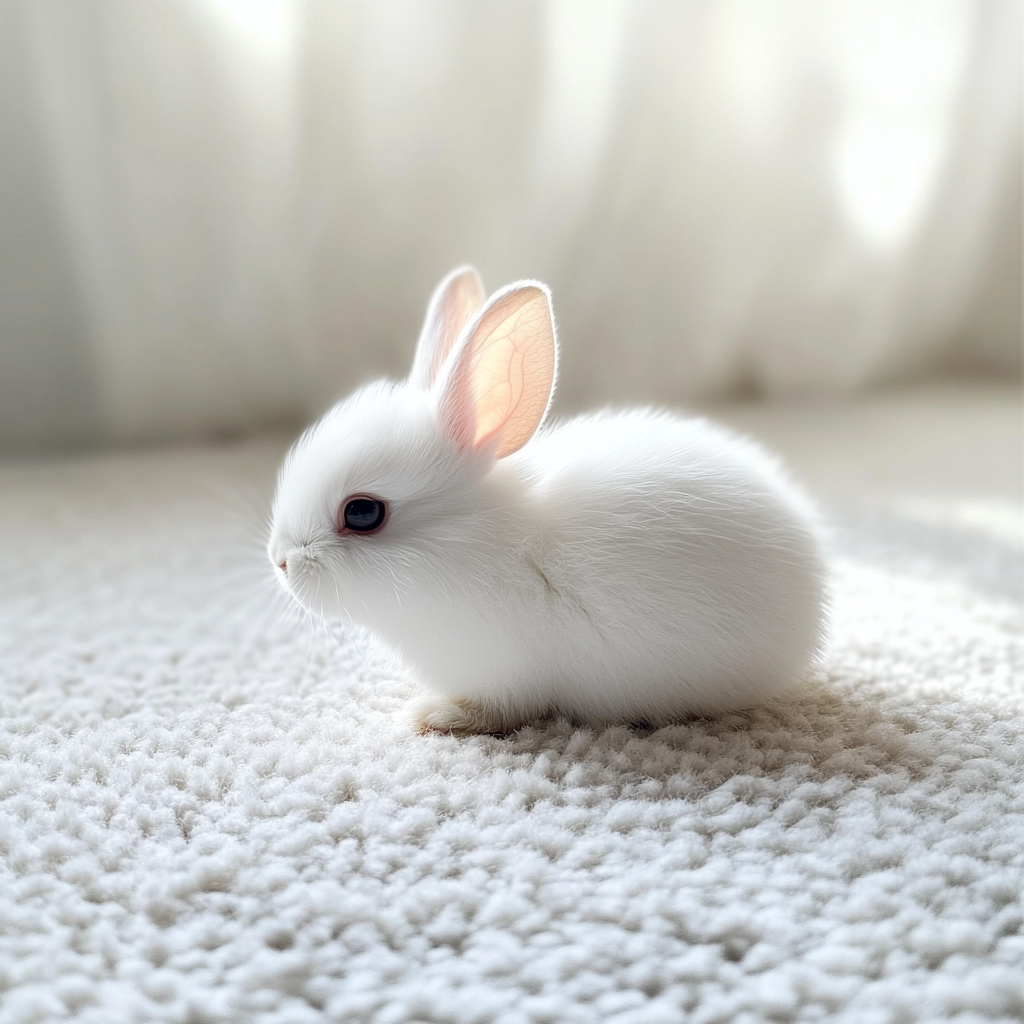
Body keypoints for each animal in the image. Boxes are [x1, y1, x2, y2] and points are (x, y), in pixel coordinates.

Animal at [268, 266, 828, 734]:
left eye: (362, 512)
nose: (280, 562)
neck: (474, 543)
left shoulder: (503, 674)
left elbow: (493, 711)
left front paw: (432, 716)